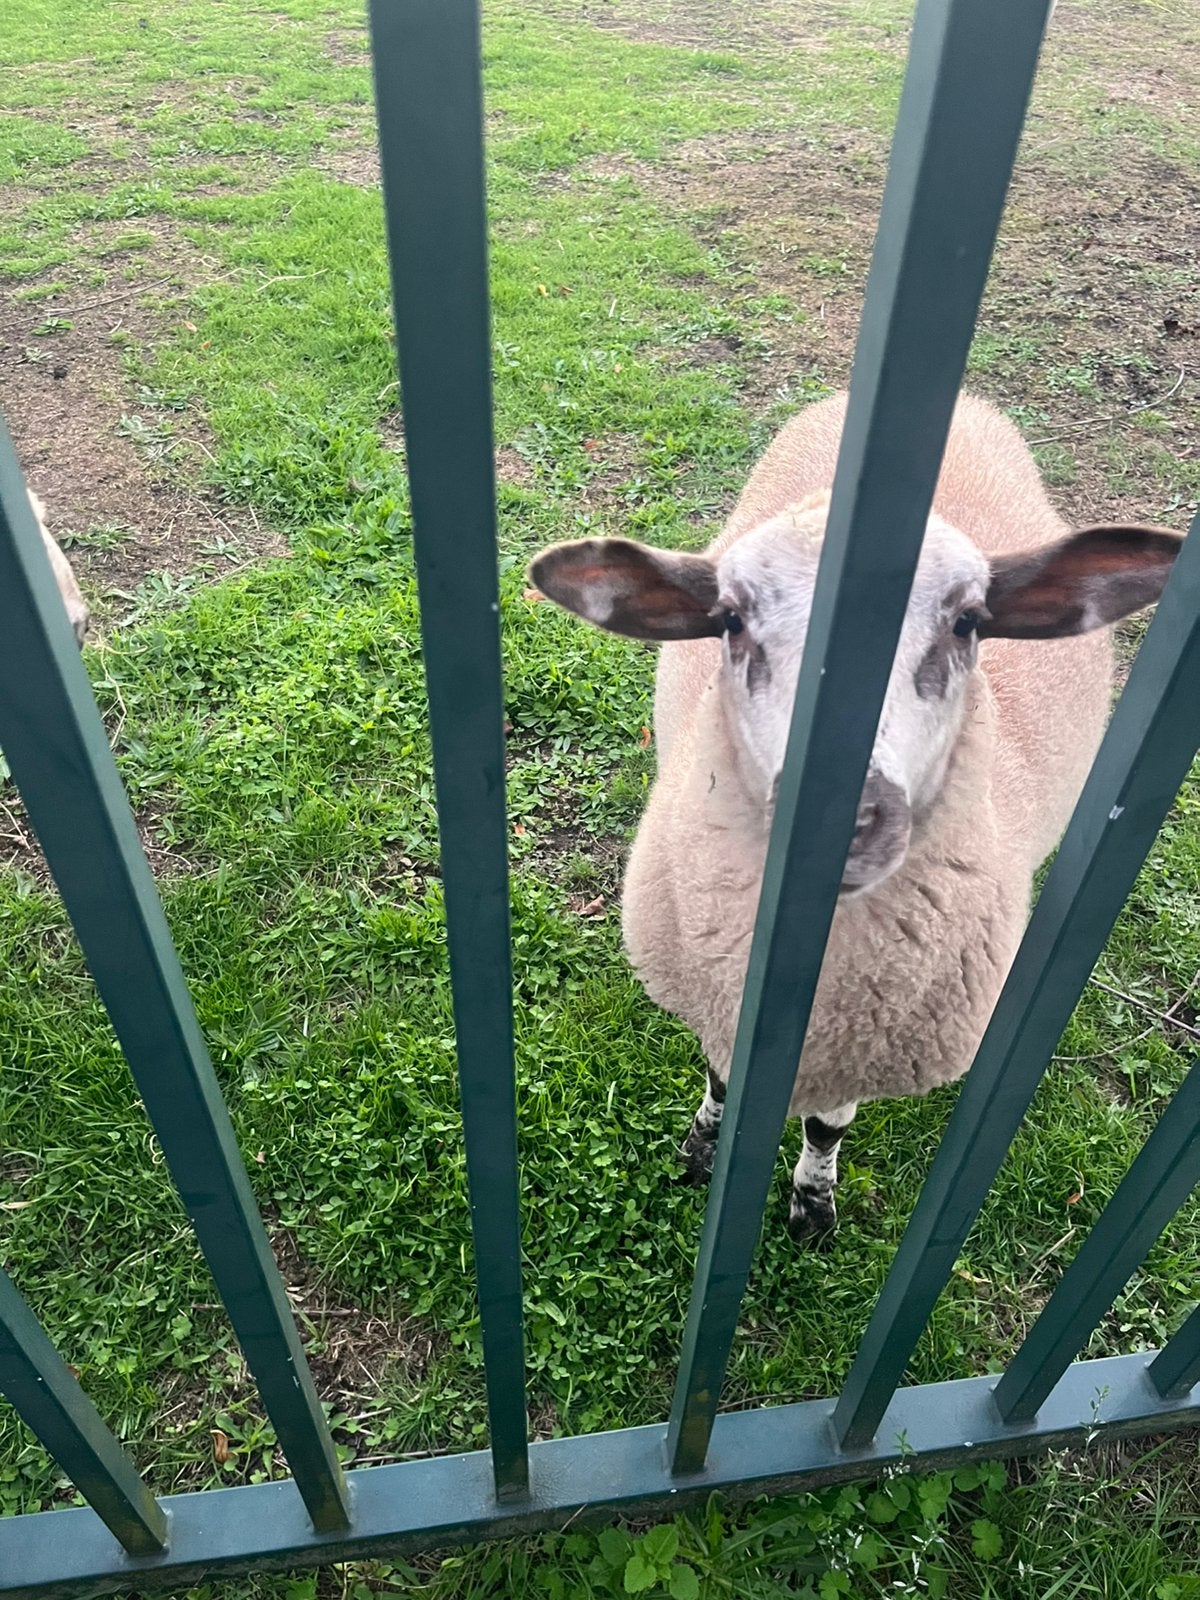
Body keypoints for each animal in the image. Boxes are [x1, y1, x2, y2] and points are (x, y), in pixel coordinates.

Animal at [528, 390, 1181, 1242]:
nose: (836, 815)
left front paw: (812, 1205)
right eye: (729, 619)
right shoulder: (718, 1009)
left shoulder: (860, 1054)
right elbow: (719, 1084)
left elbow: (826, 1126)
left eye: (969, 621)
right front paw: (700, 1151)